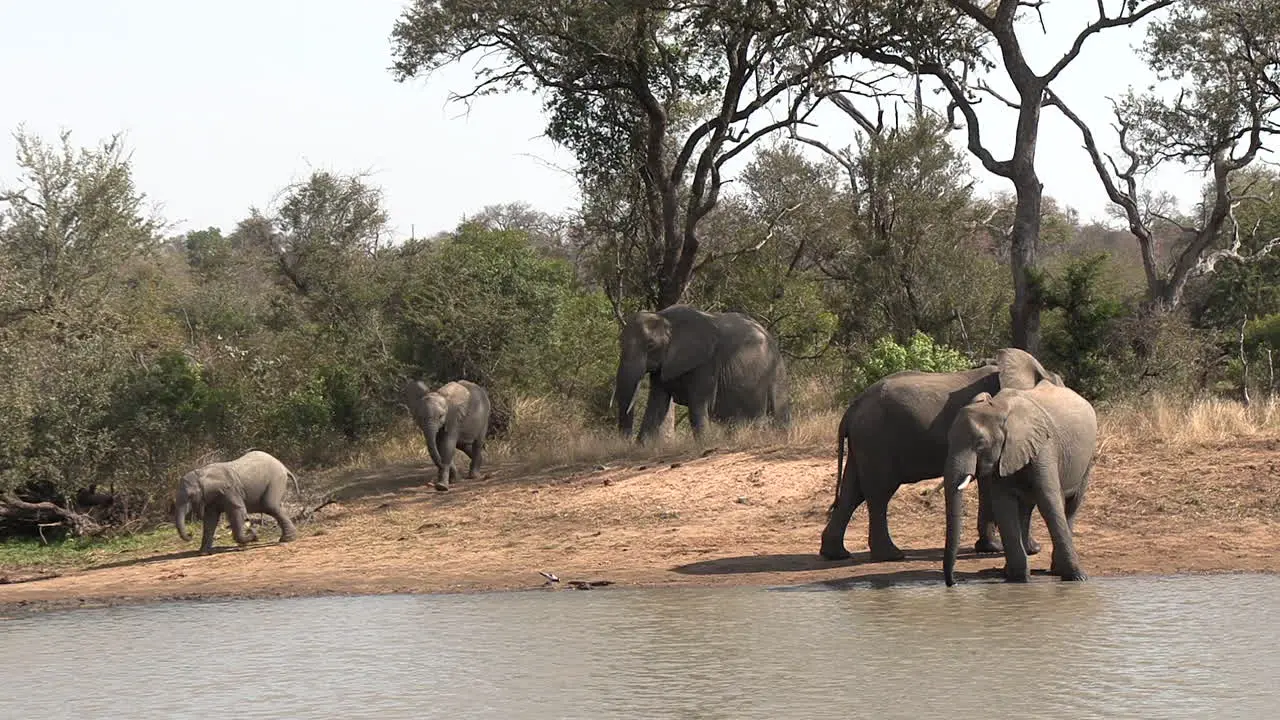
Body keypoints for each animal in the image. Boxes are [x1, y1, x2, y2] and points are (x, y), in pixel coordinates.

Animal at [611, 299, 788, 440]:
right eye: (620, 342)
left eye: (650, 345)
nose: (625, 441)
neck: (664, 318)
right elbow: (656, 405)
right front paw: (641, 447)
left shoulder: (707, 362)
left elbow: (698, 404)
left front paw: (705, 443)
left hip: (775, 370)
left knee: (777, 409)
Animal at [819, 345, 1059, 561]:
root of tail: (852, 408)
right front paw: (1002, 548)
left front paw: (990, 548)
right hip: (875, 439)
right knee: (878, 493)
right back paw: (891, 556)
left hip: (864, 442)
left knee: (853, 491)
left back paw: (836, 554)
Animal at [942, 376, 1100, 584]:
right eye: (949, 440)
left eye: (980, 444)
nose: (953, 583)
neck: (998, 408)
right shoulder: (1003, 456)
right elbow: (1004, 506)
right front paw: (1018, 580)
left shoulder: (1044, 447)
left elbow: (1049, 501)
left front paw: (1078, 578)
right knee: (1025, 509)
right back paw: (1011, 571)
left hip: (1087, 458)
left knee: (1071, 504)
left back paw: (1057, 570)